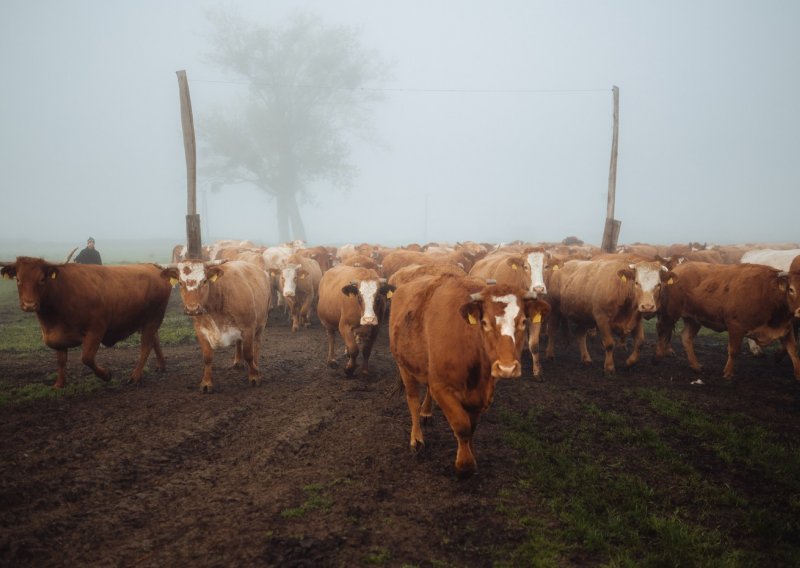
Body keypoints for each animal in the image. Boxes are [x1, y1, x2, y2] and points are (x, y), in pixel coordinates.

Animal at [0, 256, 170, 386]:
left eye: (42, 279)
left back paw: (135, 376)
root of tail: (154, 267)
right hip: (146, 321)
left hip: (154, 318)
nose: (29, 305)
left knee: (146, 346)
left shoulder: (96, 330)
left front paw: (106, 375)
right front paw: (59, 384)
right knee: (154, 340)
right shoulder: (58, 337)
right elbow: (61, 361)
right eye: (18, 279)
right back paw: (161, 365)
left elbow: (87, 358)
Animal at [161, 260, 274, 392]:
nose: (192, 309)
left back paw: (256, 364)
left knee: (256, 345)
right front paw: (206, 382)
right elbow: (207, 357)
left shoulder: (248, 327)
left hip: (262, 323)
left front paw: (254, 376)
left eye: (204, 281)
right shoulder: (201, 330)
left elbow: (248, 354)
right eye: (180, 283)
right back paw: (238, 361)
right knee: (239, 342)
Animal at [390, 272, 552, 478]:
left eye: (523, 321)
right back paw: (416, 438)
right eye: (484, 323)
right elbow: (462, 425)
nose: (507, 368)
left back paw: (426, 412)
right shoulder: (442, 388)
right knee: (412, 401)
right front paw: (464, 464)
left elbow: (472, 426)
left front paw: (471, 454)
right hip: (404, 367)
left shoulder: (480, 394)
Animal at [544, 258, 676, 372]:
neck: (621, 289)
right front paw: (609, 367)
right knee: (552, 330)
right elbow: (609, 344)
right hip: (555, 308)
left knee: (580, 334)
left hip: (585, 316)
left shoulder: (636, 319)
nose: (647, 306)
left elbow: (640, 342)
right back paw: (550, 354)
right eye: (637, 283)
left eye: (658, 284)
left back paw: (586, 358)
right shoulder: (601, 318)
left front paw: (629, 362)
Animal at [656, 262, 800, 380]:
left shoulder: (786, 328)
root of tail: (677, 270)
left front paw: (797, 374)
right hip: (670, 314)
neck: (768, 292)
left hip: (694, 319)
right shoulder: (736, 327)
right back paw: (659, 356)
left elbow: (793, 351)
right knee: (662, 329)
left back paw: (695, 366)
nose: (799, 311)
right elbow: (734, 350)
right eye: (791, 289)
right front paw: (728, 372)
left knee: (686, 337)